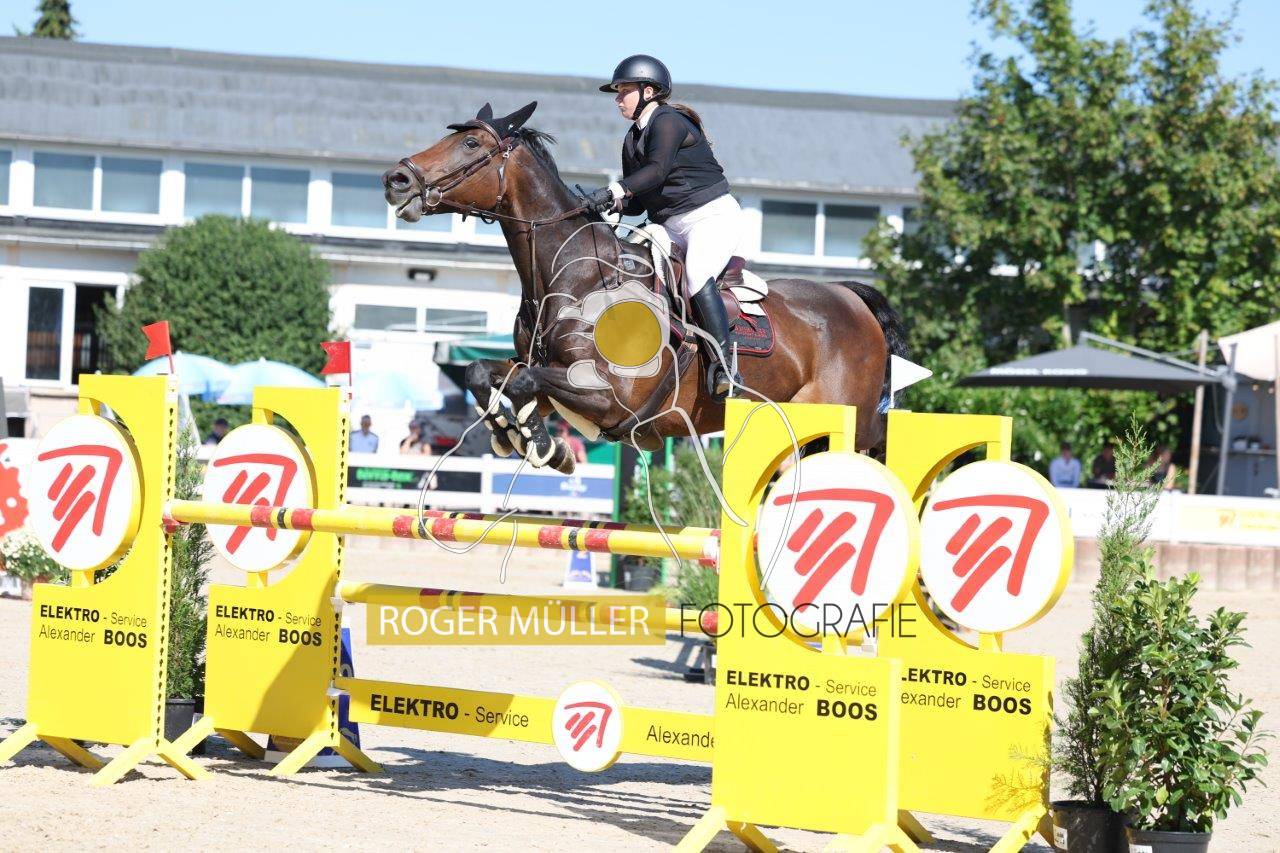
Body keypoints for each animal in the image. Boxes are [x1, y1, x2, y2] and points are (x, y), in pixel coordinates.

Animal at [383, 102, 907, 474]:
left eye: (472, 143)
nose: (396, 179)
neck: (571, 277)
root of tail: (852, 299)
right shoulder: (544, 375)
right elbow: (487, 373)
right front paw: (526, 438)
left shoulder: (609, 398)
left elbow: (524, 381)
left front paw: (541, 443)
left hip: (852, 420)